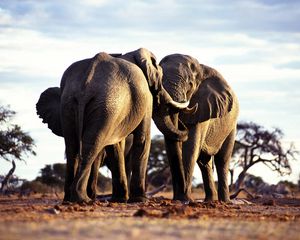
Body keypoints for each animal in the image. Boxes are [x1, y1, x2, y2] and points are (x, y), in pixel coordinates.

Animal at [37, 48, 188, 202]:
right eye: (160, 76)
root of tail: (86, 85)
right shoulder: (146, 98)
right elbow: (143, 139)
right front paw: (139, 199)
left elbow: (115, 146)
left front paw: (119, 199)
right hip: (106, 105)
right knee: (91, 145)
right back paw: (83, 198)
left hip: (72, 104)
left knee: (72, 146)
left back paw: (69, 198)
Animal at [152, 54, 239, 202]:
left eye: (190, 85)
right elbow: (172, 147)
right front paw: (179, 199)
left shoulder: (204, 107)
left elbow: (190, 147)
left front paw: (184, 199)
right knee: (204, 163)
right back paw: (210, 200)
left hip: (231, 126)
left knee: (222, 160)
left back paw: (224, 201)